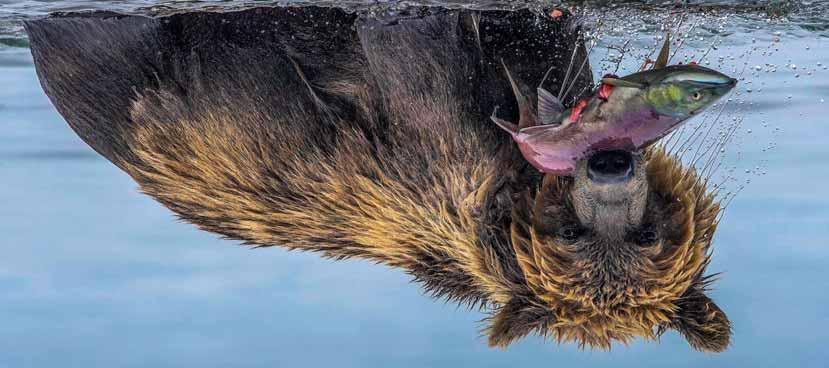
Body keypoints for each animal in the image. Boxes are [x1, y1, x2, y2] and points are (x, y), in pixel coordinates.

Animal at [24, 5, 724, 350]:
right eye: (575, 237)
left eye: (646, 237)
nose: (610, 167)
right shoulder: (439, 158)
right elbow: (434, 65)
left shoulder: (437, 189)